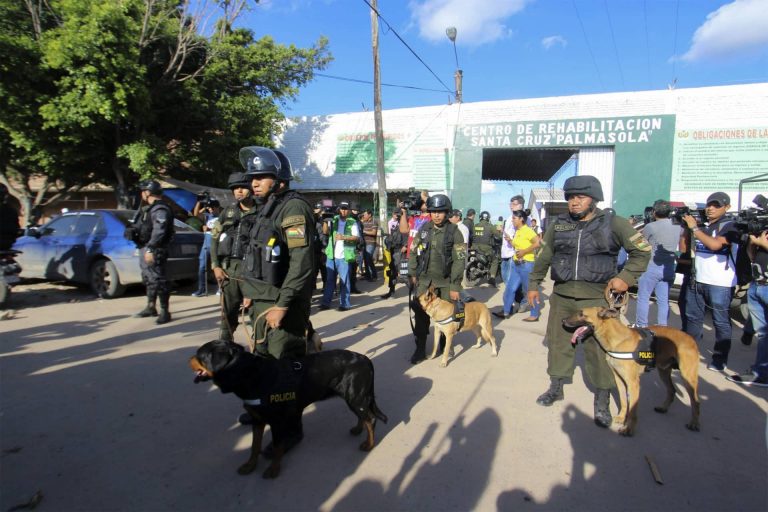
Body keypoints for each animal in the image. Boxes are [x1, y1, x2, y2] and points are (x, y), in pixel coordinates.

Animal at [189, 342, 388, 478]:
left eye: (199, 355)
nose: (188, 359)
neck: (251, 375)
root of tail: (365, 359)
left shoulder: (277, 422)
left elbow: (278, 447)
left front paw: (273, 470)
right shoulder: (257, 420)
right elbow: (254, 446)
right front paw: (250, 465)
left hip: (356, 397)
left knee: (370, 419)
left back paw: (369, 444)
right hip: (354, 398)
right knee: (363, 416)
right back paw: (357, 429)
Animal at [560, 306, 700, 438]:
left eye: (582, 314)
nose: (563, 320)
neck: (618, 340)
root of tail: (690, 338)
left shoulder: (633, 384)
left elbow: (632, 410)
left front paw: (629, 429)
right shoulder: (619, 380)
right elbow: (623, 401)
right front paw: (622, 418)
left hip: (688, 378)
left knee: (696, 401)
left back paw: (694, 423)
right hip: (663, 372)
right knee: (672, 390)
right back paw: (664, 407)